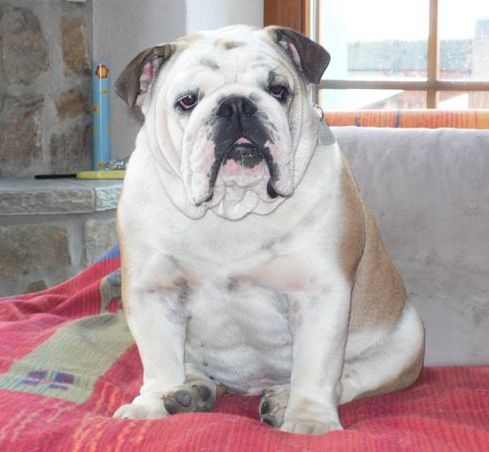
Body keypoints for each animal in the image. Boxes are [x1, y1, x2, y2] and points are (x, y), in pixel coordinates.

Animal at [113, 25, 424, 435]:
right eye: (187, 101)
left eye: (278, 90)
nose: (236, 105)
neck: (232, 209)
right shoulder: (152, 291)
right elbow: (160, 360)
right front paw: (149, 406)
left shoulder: (318, 293)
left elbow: (316, 368)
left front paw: (309, 421)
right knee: (192, 369)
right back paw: (188, 394)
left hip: (407, 340)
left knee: (349, 378)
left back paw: (281, 400)